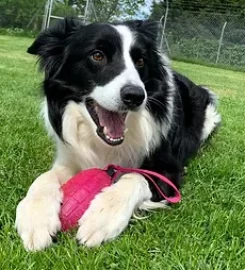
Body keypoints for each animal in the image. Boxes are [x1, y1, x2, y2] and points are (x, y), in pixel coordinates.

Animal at [15, 18, 222, 251]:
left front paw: (102, 217)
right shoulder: (71, 158)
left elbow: (136, 176)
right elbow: (44, 178)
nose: (135, 96)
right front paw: (35, 219)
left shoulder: (169, 170)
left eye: (140, 61)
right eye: (97, 55)